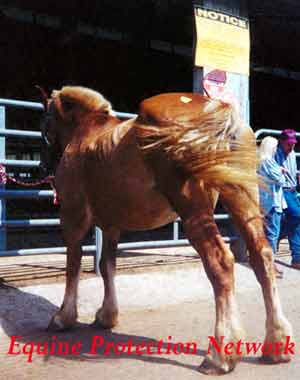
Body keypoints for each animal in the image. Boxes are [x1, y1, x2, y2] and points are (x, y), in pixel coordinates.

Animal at [38, 86, 292, 374]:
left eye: (44, 122)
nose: (43, 166)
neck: (86, 132)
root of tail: (219, 110)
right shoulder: (112, 226)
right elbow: (107, 266)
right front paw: (107, 315)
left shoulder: (73, 218)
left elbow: (73, 265)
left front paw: (63, 317)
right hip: (243, 198)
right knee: (263, 257)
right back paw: (276, 344)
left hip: (194, 210)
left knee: (221, 263)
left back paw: (220, 355)